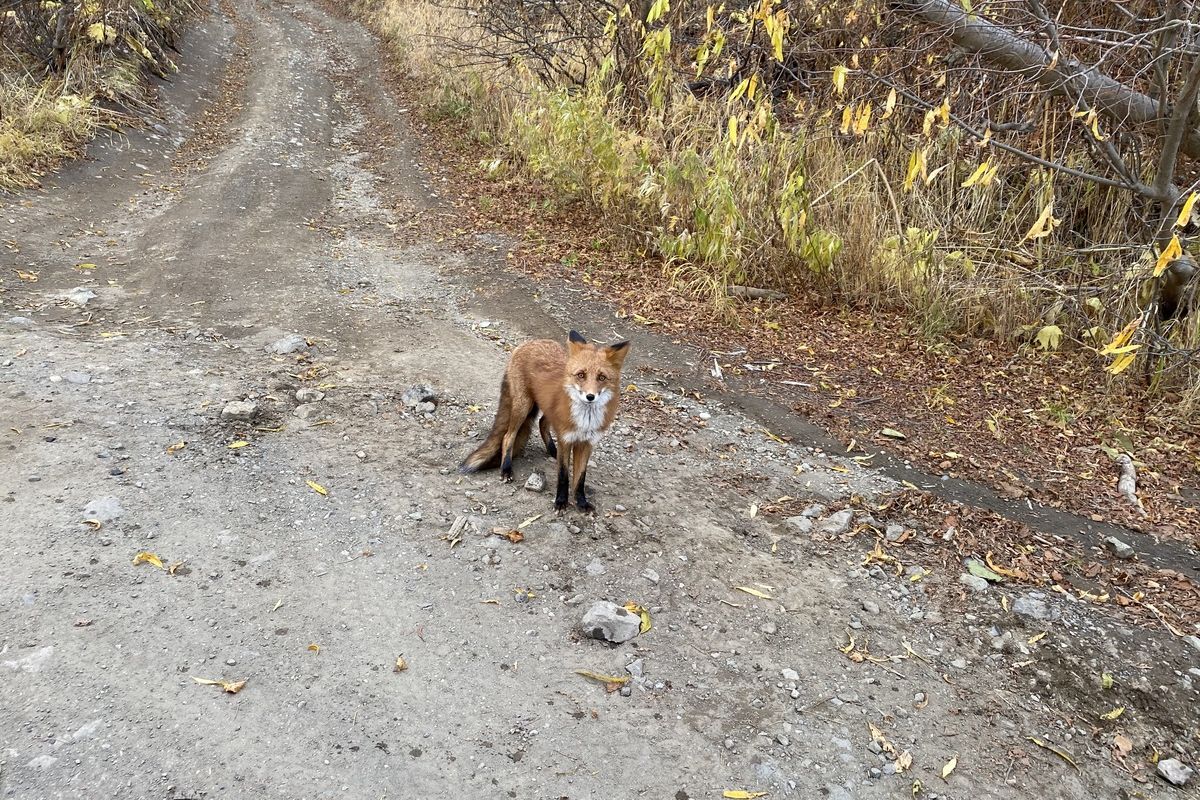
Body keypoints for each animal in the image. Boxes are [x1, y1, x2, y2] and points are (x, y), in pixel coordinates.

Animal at [456, 331, 633, 513]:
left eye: (601, 377)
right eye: (581, 375)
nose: (590, 396)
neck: (585, 420)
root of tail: (529, 343)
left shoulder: (587, 443)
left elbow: (580, 478)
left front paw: (581, 503)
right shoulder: (565, 438)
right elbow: (563, 475)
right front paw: (560, 502)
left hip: (546, 407)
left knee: (541, 423)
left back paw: (552, 451)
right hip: (523, 406)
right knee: (507, 436)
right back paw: (506, 469)